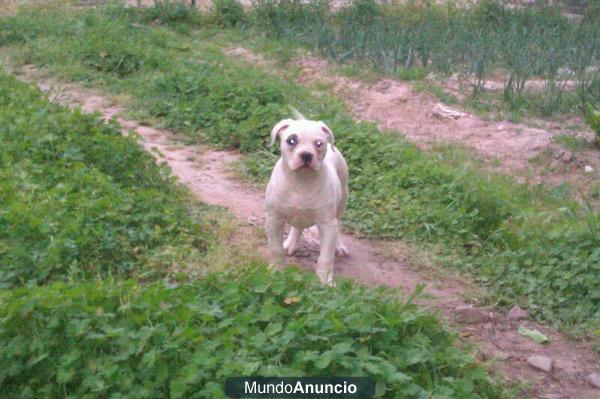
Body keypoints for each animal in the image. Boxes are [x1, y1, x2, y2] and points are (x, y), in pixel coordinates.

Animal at [266, 117, 346, 286]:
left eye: (318, 143)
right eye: (291, 140)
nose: (306, 155)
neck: (301, 181)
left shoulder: (327, 225)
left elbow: (326, 257)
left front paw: (326, 281)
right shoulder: (274, 219)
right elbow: (276, 248)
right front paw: (276, 270)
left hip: (343, 198)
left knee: (338, 222)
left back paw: (339, 246)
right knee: (297, 227)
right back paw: (290, 244)